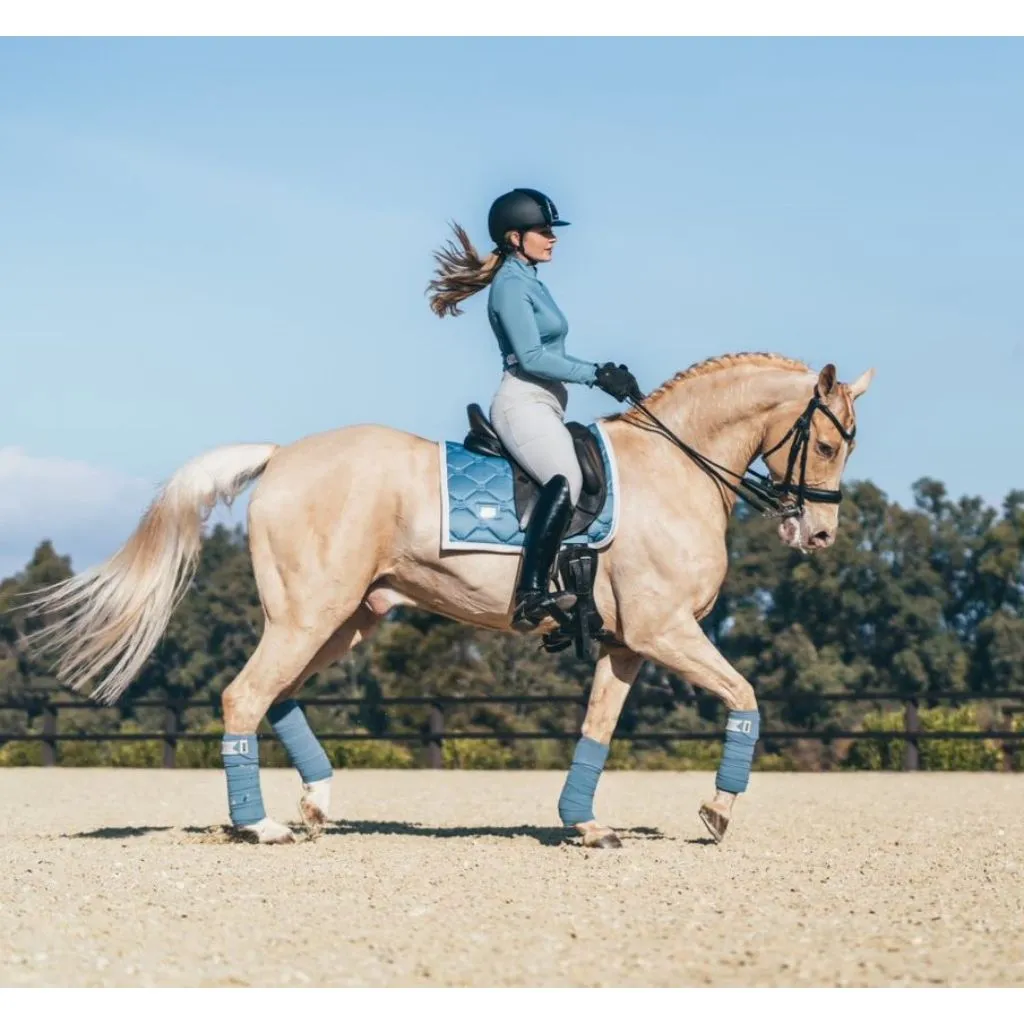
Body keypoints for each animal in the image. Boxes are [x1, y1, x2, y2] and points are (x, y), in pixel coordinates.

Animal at [22, 352, 872, 847]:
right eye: (830, 443)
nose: (820, 534)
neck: (677, 470)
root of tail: (283, 456)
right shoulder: (665, 631)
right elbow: (747, 696)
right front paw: (718, 812)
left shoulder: (630, 644)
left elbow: (597, 729)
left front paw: (586, 825)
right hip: (311, 612)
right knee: (245, 694)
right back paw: (260, 825)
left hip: (348, 618)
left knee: (277, 694)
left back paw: (317, 805)